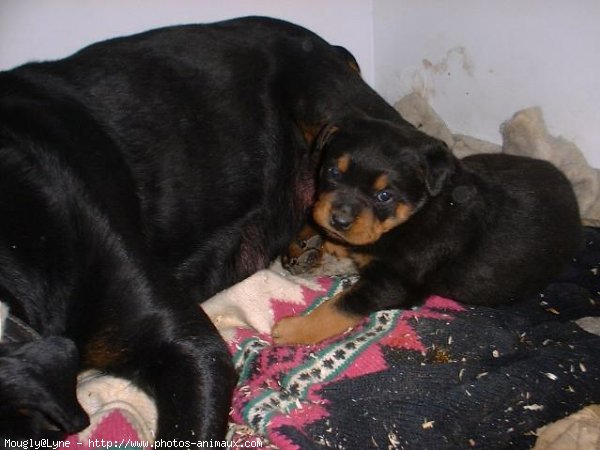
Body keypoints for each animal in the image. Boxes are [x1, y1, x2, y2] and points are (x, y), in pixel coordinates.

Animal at [274, 117, 584, 344]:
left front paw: (292, 329)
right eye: (333, 172)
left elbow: (340, 306)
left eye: (384, 196)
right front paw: (325, 241)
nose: (339, 220)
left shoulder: (395, 284)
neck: (415, 214)